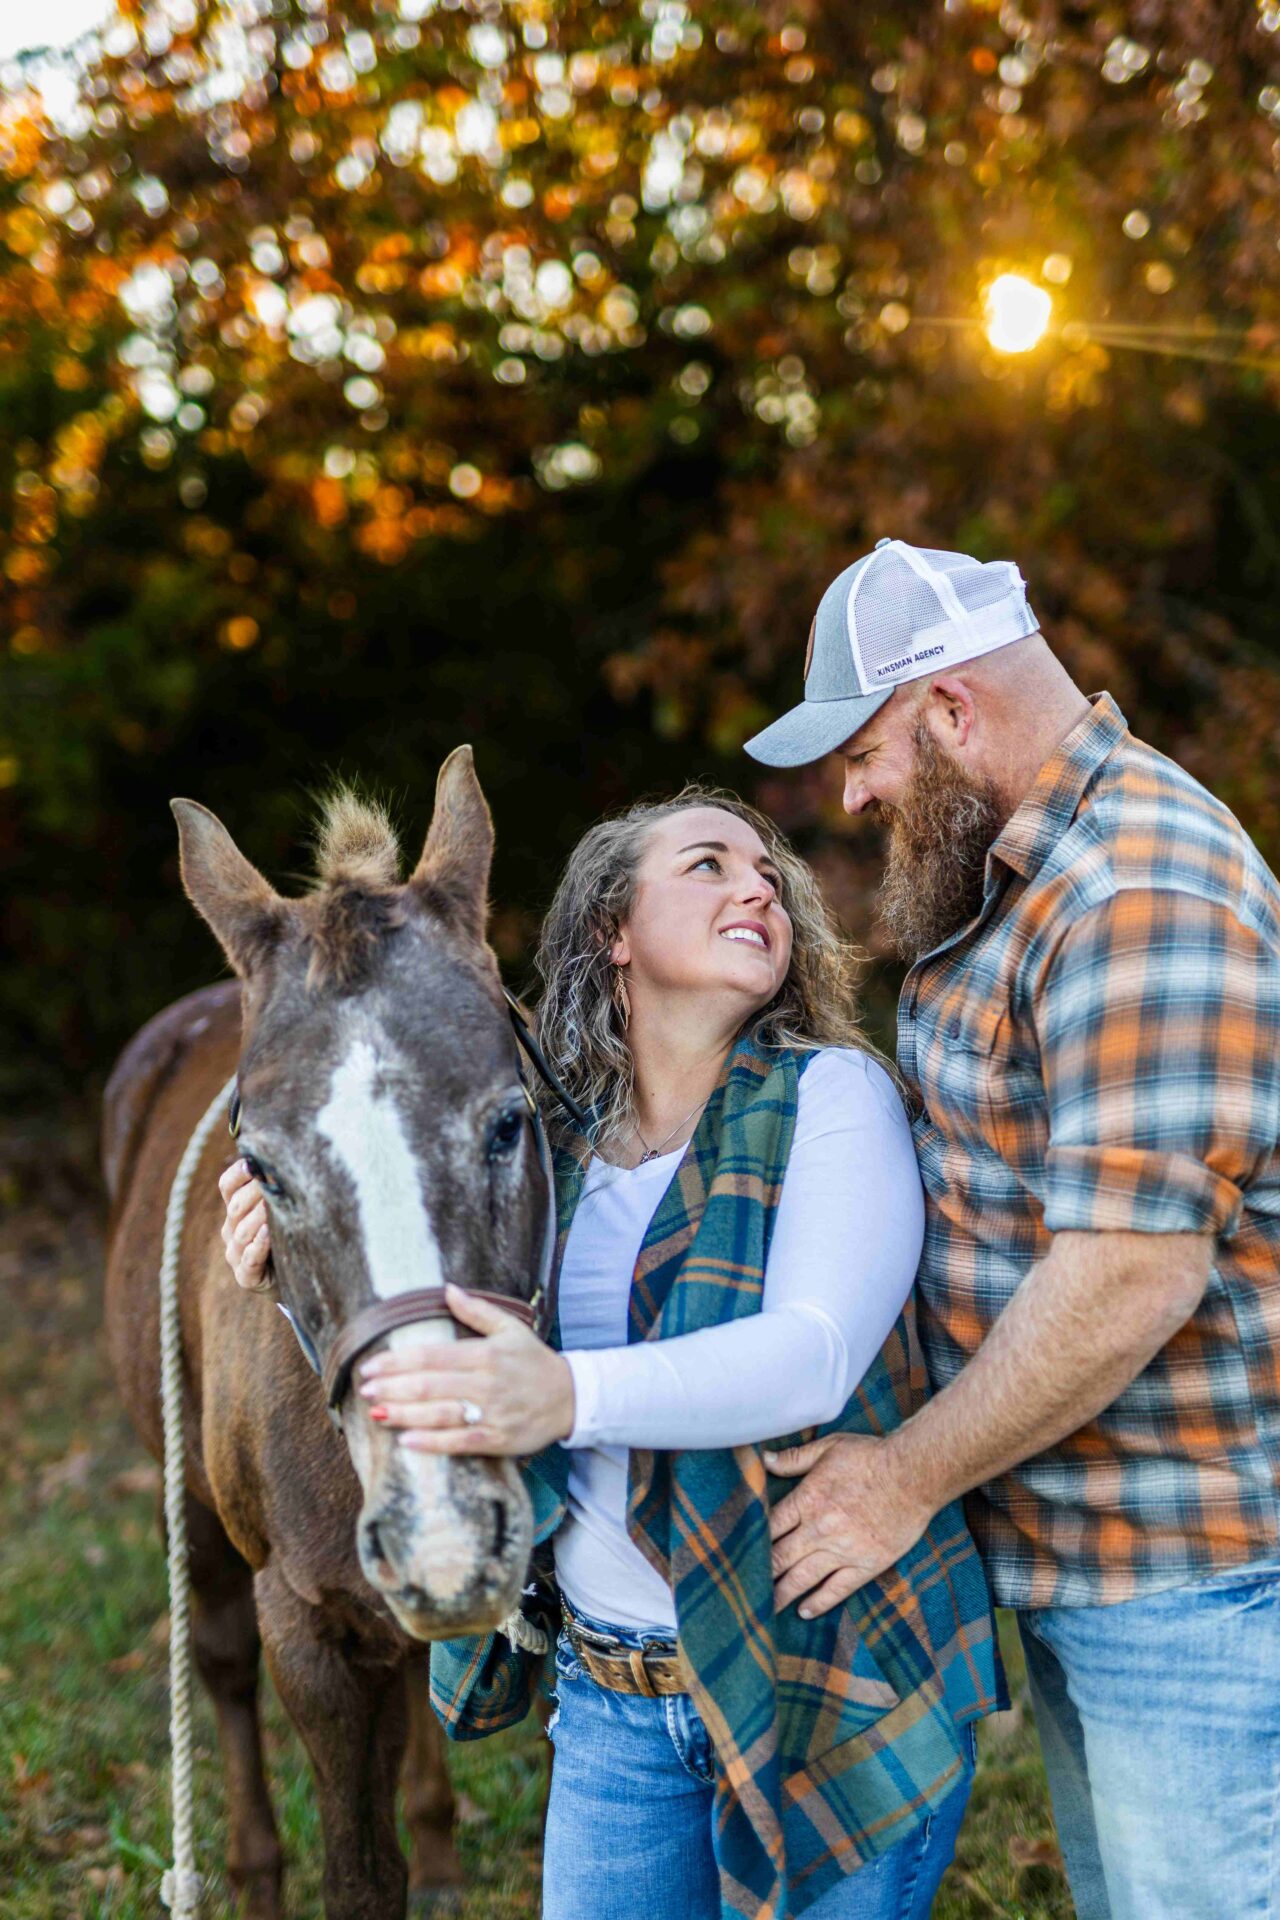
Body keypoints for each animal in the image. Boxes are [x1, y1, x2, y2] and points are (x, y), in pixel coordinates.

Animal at [102, 752, 552, 1920]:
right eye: (259, 1167)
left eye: (510, 1121)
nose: (442, 1530)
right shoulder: (307, 1626)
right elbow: (356, 1872)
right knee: (219, 1669)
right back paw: (253, 1875)